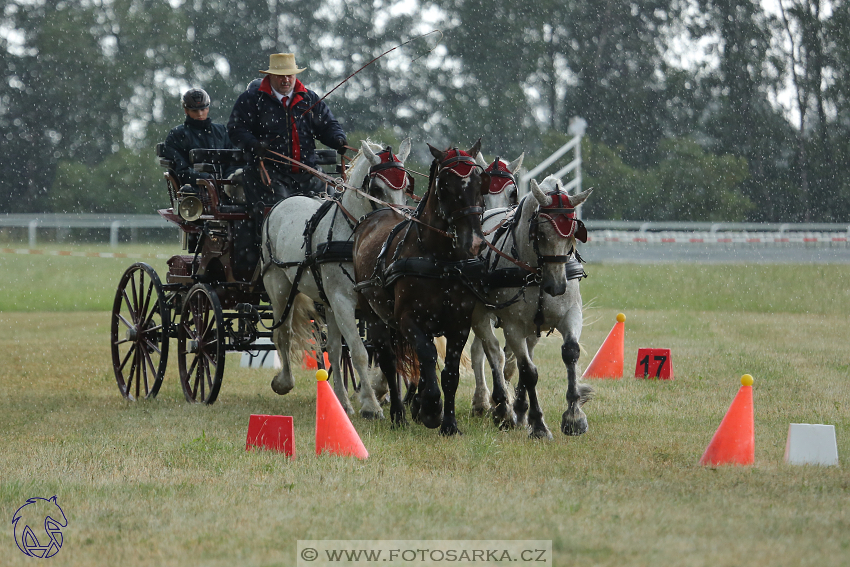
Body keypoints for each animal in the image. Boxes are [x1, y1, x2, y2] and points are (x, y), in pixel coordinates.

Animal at [262, 140, 414, 420]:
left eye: (407, 184)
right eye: (377, 188)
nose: (397, 223)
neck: (357, 237)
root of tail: (282, 203)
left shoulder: (374, 302)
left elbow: (384, 349)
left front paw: (378, 391)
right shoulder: (343, 300)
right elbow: (359, 351)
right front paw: (372, 406)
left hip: (328, 302)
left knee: (332, 348)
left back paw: (342, 402)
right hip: (279, 287)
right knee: (284, 334)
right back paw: (284, 382)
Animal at [352, 141, 490, 434]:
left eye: (478, 182)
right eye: (444, 185)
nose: (473, 242)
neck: (441, 260)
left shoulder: (459, 324)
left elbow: (450, 372)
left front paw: (449, 423)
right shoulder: (408, 320)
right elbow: (426, 355)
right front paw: (431, 408)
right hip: (376, 317)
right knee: (389, 361)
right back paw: (398, 414)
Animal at [470, 176, 588, 440]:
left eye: (573, 234)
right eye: (541, 233)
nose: (557, 286)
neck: (536, 273)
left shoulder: (571, 314)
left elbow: (570, 353)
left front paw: (574, 416)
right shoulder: (513, 325)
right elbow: (528, 371)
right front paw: (539, 425)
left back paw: (517, 408)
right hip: (479, 316)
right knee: (492, 352)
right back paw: (498, 407)